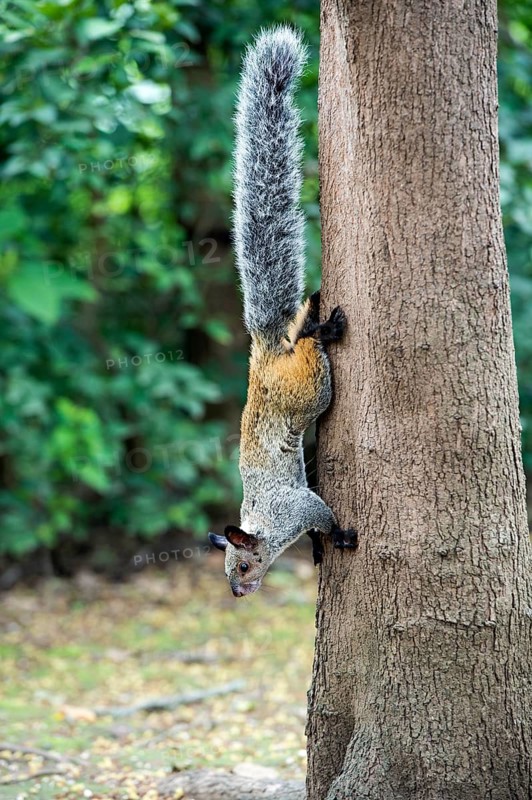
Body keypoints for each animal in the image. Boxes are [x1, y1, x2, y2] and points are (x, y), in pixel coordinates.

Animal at [208, 25, 357, 597]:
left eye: (244, 566)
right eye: (229, 569)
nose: (236, 593)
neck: (266, 523)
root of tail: (266, 350)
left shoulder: (297, 506)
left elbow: (323, 514)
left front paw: (337, 536)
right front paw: (319, 549)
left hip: (310, 390)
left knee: (310, 345)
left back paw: (321, 325)